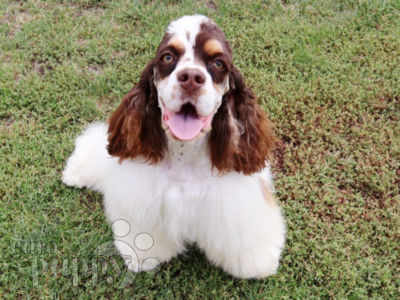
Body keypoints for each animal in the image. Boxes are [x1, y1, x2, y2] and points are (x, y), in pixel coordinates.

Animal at [62, 15, 284, 278]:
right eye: (168, 57)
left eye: (218, 63)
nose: (191, 78)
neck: (184, 153)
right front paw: (142, 256)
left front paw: (258, 261)